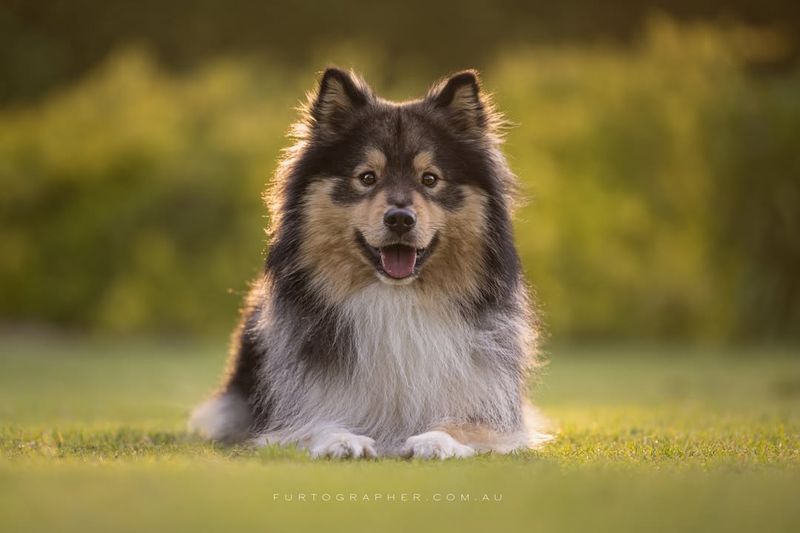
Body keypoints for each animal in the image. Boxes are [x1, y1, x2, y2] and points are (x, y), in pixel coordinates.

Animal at [188, 66, 552, 458]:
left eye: (430, 179)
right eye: (367, 178)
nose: (400, 219)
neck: (396, 298)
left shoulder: (490, 410)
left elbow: (464, 425)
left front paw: (436, 440)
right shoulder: (288, 413)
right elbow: (314, 423)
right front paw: (340, 440)